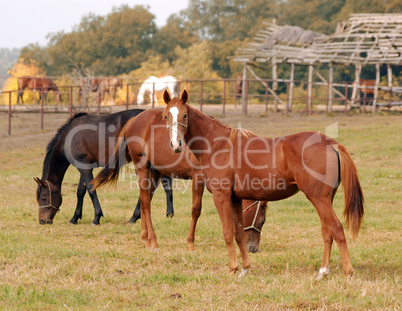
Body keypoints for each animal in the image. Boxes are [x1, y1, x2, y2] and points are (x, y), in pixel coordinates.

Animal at [34, 109, 173, 227]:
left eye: (43, 198)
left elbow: (91, 190)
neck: (68, 138)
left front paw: (96, 218)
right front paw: (75, 218)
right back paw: (167, 214)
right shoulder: (85, 166)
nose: (42, 221)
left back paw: (135, 217)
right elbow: (80, 191)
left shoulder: (84, 167)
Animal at [92, 109, 268, 254]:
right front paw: (190, 243)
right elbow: (196, 209)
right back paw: (153, 241)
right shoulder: (198, 177)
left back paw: (145, 239)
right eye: (262, 219)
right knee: (146, 204)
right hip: (142, 168)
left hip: (154, 172)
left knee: (144, 200)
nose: (254, 248)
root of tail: (134, 120)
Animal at [160, 89, 364, 280]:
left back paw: (348, 272)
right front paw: (245, 269)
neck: (219, 146)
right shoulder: (235, 199)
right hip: (324, 199)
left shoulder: (221, 196)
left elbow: (227, 233)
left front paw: (233, 269)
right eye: (166, 115)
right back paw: (322, 272)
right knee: (327, 232)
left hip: (318, 198)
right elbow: (239, 234)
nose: (175, 145)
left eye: (184, 115)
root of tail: (333, 144)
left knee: (336, 228)